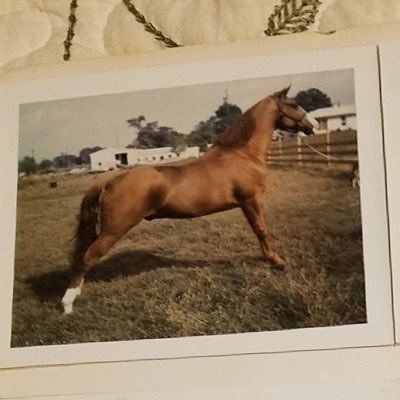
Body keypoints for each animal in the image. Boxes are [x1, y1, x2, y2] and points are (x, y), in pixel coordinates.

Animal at [61, 86, 318, 312]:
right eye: (293, 105)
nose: (313, 126)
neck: (242, 154)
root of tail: (108, 181)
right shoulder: (251, 200)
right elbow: (261, 230)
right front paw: (276, 260)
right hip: (113, 231)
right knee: (85, 259)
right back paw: (67, 305)